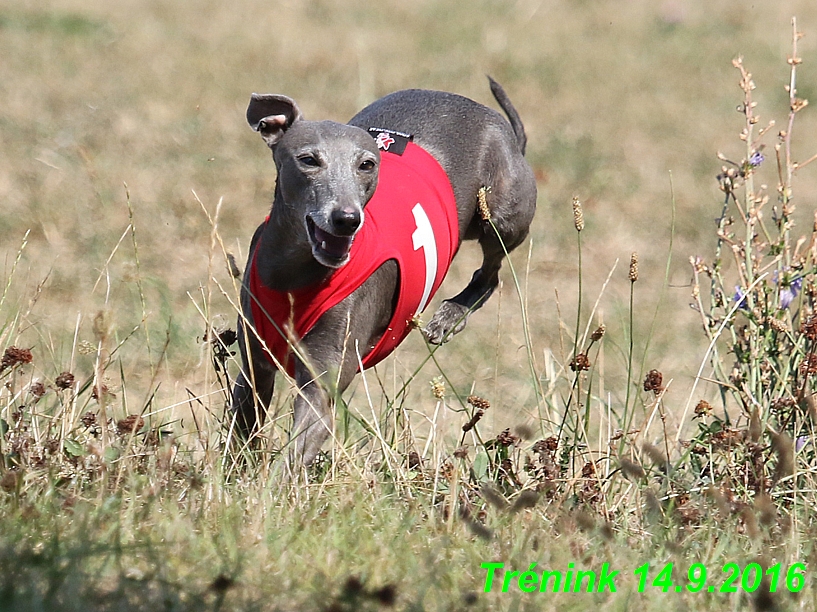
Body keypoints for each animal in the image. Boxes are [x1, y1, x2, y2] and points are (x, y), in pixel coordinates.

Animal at [231, 77, 536, 468]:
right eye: (308, 160)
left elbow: (295, 451)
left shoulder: (321, 385)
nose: (347, 219)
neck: (296, 275)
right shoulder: (255, 367)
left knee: (491, 273)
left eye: (367, 164)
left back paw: (448, 317)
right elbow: (242, 429)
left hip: (502, 215)